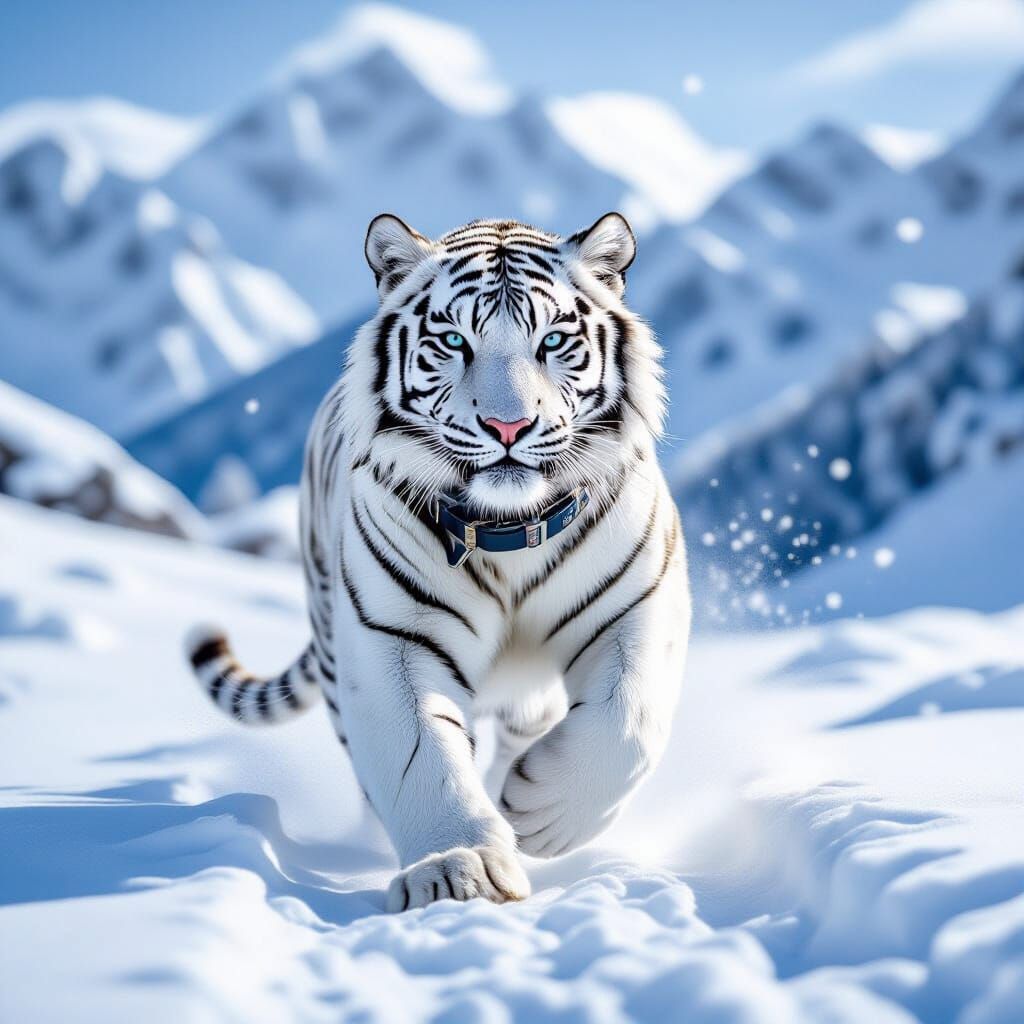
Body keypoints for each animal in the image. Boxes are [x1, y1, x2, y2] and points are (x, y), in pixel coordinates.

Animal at [186, 212, 690, 911]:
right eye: (454, 340)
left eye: (553, 340)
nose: (508, 426)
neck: (509, 530)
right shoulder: (394, 637)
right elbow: (422, 754)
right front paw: (458, 871)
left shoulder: (638, 605)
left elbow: (628, 719)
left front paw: (541, 812)